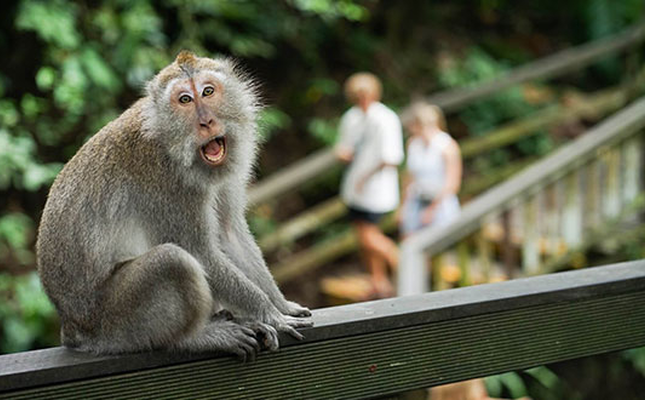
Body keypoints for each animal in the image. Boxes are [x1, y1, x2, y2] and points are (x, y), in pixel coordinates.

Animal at [36, 50, 314, 360]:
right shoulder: (169, 186)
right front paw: (268, 313)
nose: (206, 122)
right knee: (172, 261)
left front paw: (282, 304)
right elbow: (200, 253)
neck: (171, 143)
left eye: (208, 92)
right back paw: (196, 338)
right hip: (115, 322)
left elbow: (229, 233)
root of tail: (72, 328)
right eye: (184, 100)